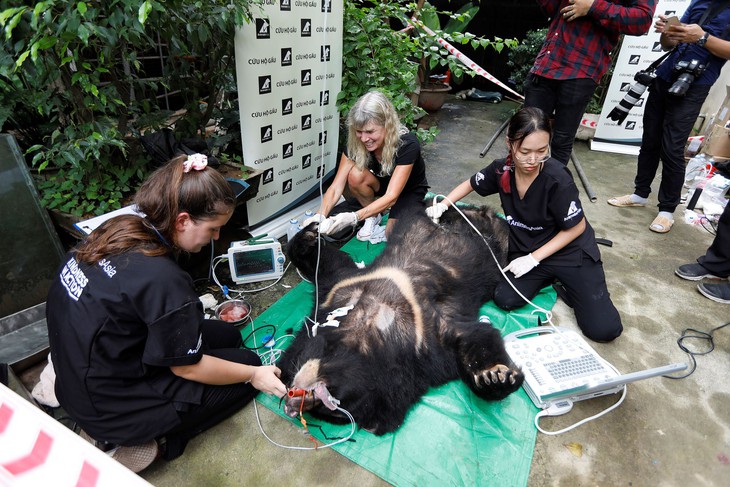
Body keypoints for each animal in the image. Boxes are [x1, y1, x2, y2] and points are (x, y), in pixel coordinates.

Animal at [278, 205, 524, 434]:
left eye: (332, 402)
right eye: (332, 412)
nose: (292, 404)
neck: (368, 327)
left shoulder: (421, 331)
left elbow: (474, 335)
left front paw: (495, 376)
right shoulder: (338, 290)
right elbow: (330, 265)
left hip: (500, 241)